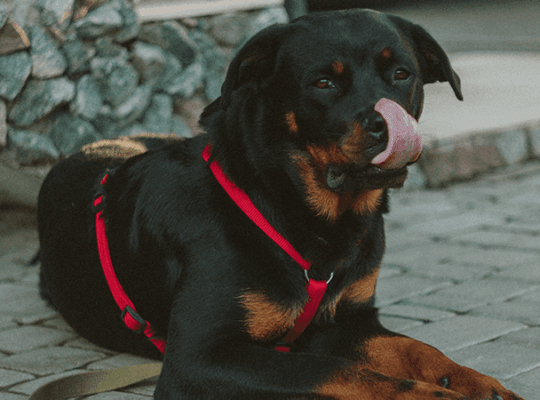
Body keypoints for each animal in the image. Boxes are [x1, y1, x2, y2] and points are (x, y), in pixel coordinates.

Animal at [34, 7, 524, 398]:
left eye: (401, 74)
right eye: (323, 82)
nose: (385, 124)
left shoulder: (349, 321)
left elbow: (416, 348)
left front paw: (478, 383)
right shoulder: (199, 358)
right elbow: (338, 372)